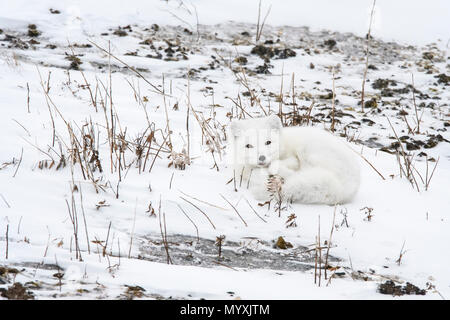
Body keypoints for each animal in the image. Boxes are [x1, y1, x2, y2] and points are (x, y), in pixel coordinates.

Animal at [230, 115, 360, 205]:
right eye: (248, 146)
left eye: (268, 142)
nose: (262, 158)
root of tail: (344, 189)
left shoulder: (293, 159)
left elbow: (282, 165)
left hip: (309, 152)